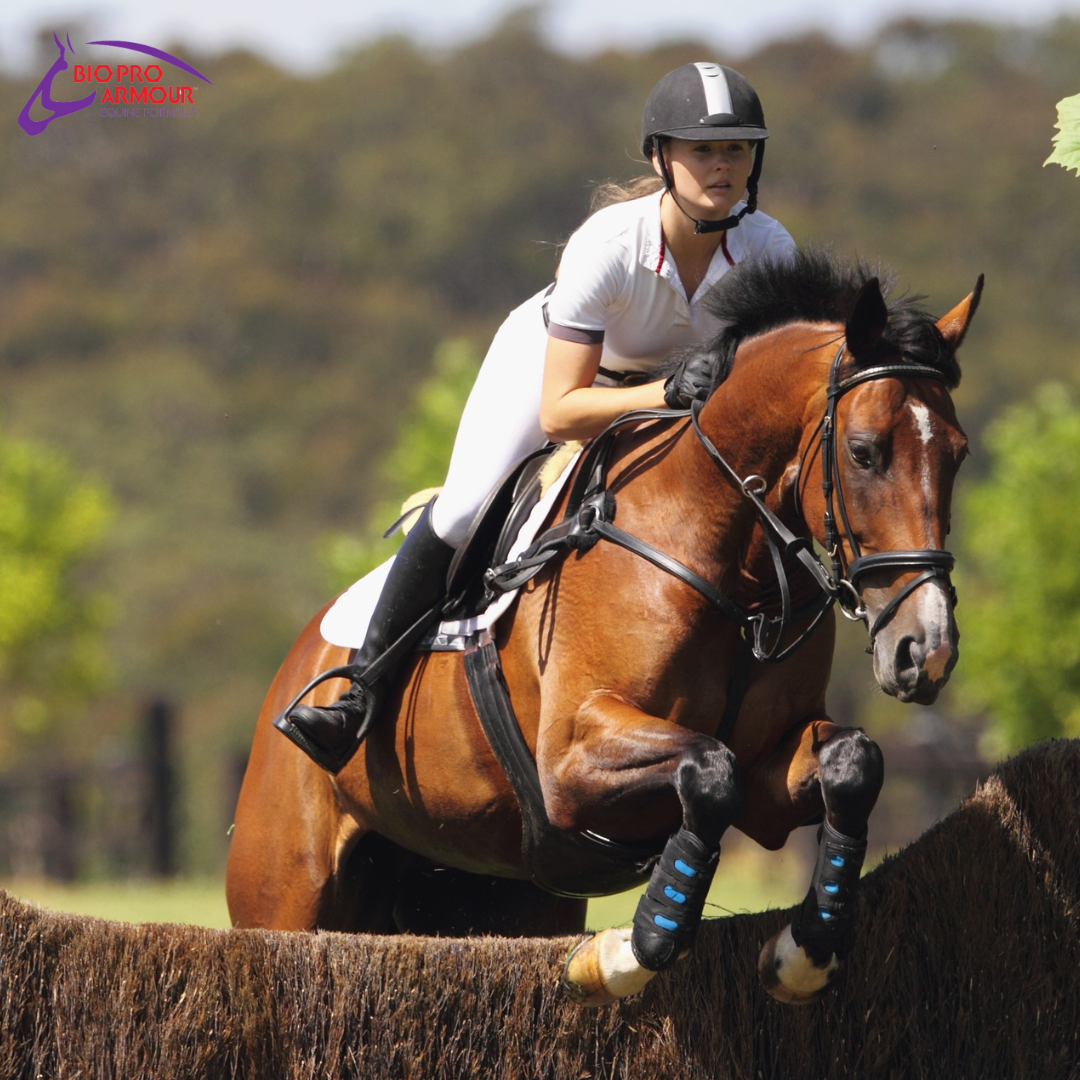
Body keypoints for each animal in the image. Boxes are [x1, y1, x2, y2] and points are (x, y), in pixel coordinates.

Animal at [226, 249, 979, 1007]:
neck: (725, 558)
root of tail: (295, 667)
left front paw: (804, 954)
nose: (926, 650)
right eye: (863, 452)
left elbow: (851, 762)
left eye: (959, 452)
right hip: (287, 893)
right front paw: (627, 951)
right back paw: (337, 714)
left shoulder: (771, 772)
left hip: (499, 892)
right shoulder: (571, 760)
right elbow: (710, 770)